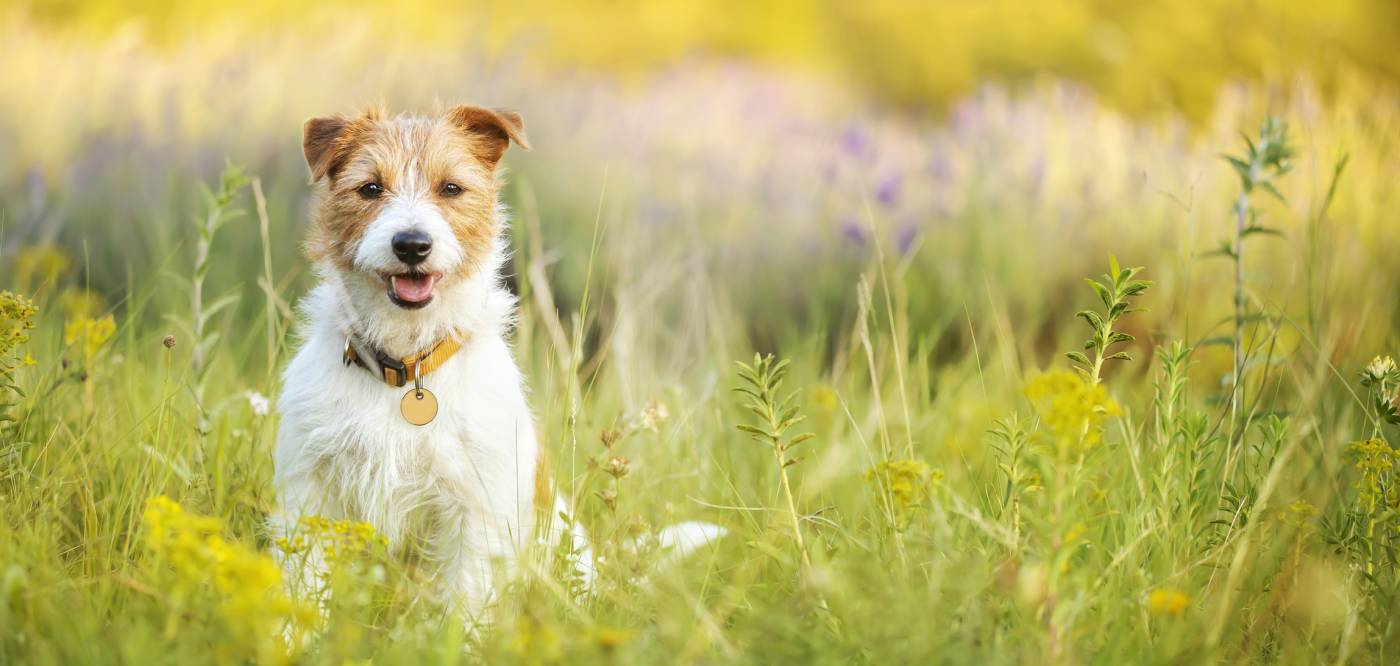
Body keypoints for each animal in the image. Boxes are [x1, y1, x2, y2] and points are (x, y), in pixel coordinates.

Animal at [268, 105, 716, 618]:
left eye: (451, 188)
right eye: (370, 188)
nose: (412, 245)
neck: (407, 364)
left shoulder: (475, 507)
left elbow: (465, 596)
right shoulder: (309, 489)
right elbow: (301, 581)